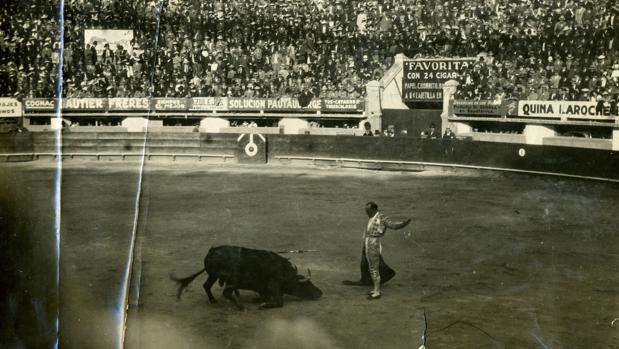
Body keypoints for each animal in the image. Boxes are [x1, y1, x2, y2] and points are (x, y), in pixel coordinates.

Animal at [171, 243, 324, 308]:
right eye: (307, 283)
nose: (320, 293)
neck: (284, 272)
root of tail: (212, 250)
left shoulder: (264, 288)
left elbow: (265, 296)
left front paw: (257, 300)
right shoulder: (273, 285)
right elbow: (279, 302)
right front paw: (263, 305)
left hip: (213, 276)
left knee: (206, 285)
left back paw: (214, 300)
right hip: (232, 279)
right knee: (226, 292)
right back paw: (240, 307)